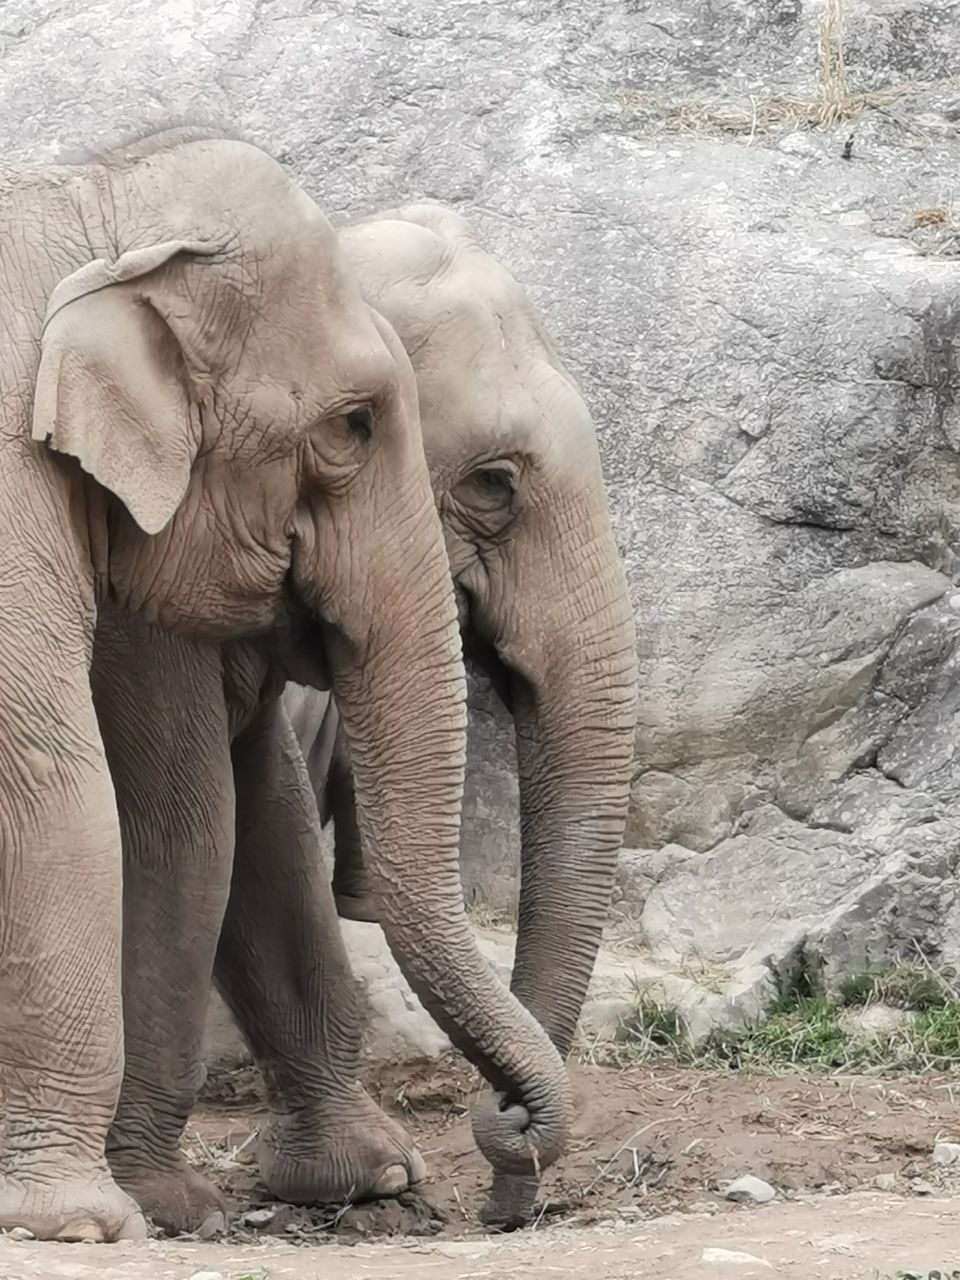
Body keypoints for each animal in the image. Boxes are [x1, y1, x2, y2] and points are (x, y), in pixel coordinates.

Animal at [0, 135, 481, 1244]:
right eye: (354, 424)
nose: (509, 1147)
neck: (88, 202)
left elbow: (226, 810)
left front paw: (366, 1181)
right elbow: (54, 779)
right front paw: (85, 1225)